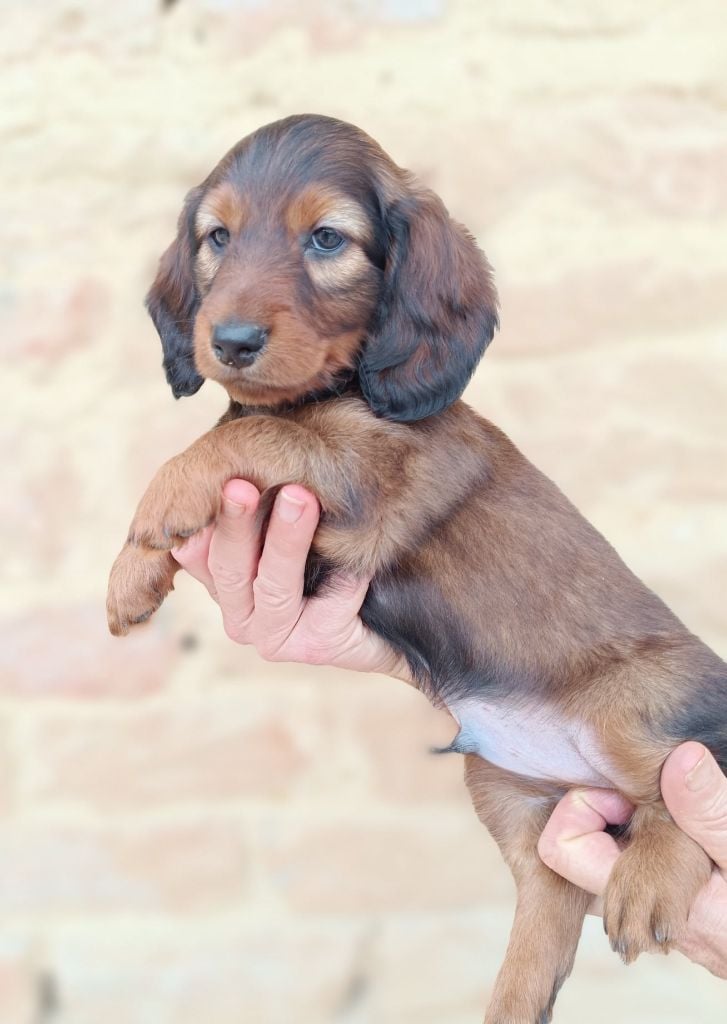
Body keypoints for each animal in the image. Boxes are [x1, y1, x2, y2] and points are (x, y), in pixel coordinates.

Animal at [107, 114, 726, 1022]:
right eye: (217, 237)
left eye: (327, 238)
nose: (228, 342)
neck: (338, 390)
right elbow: (236, 429)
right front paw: (133, 575)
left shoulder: (367, 480)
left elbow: (250, 433)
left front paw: (160, 504)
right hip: (522, 805)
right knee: (544, 925)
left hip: (635, 708)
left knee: (683, 784)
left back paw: (648, 876)